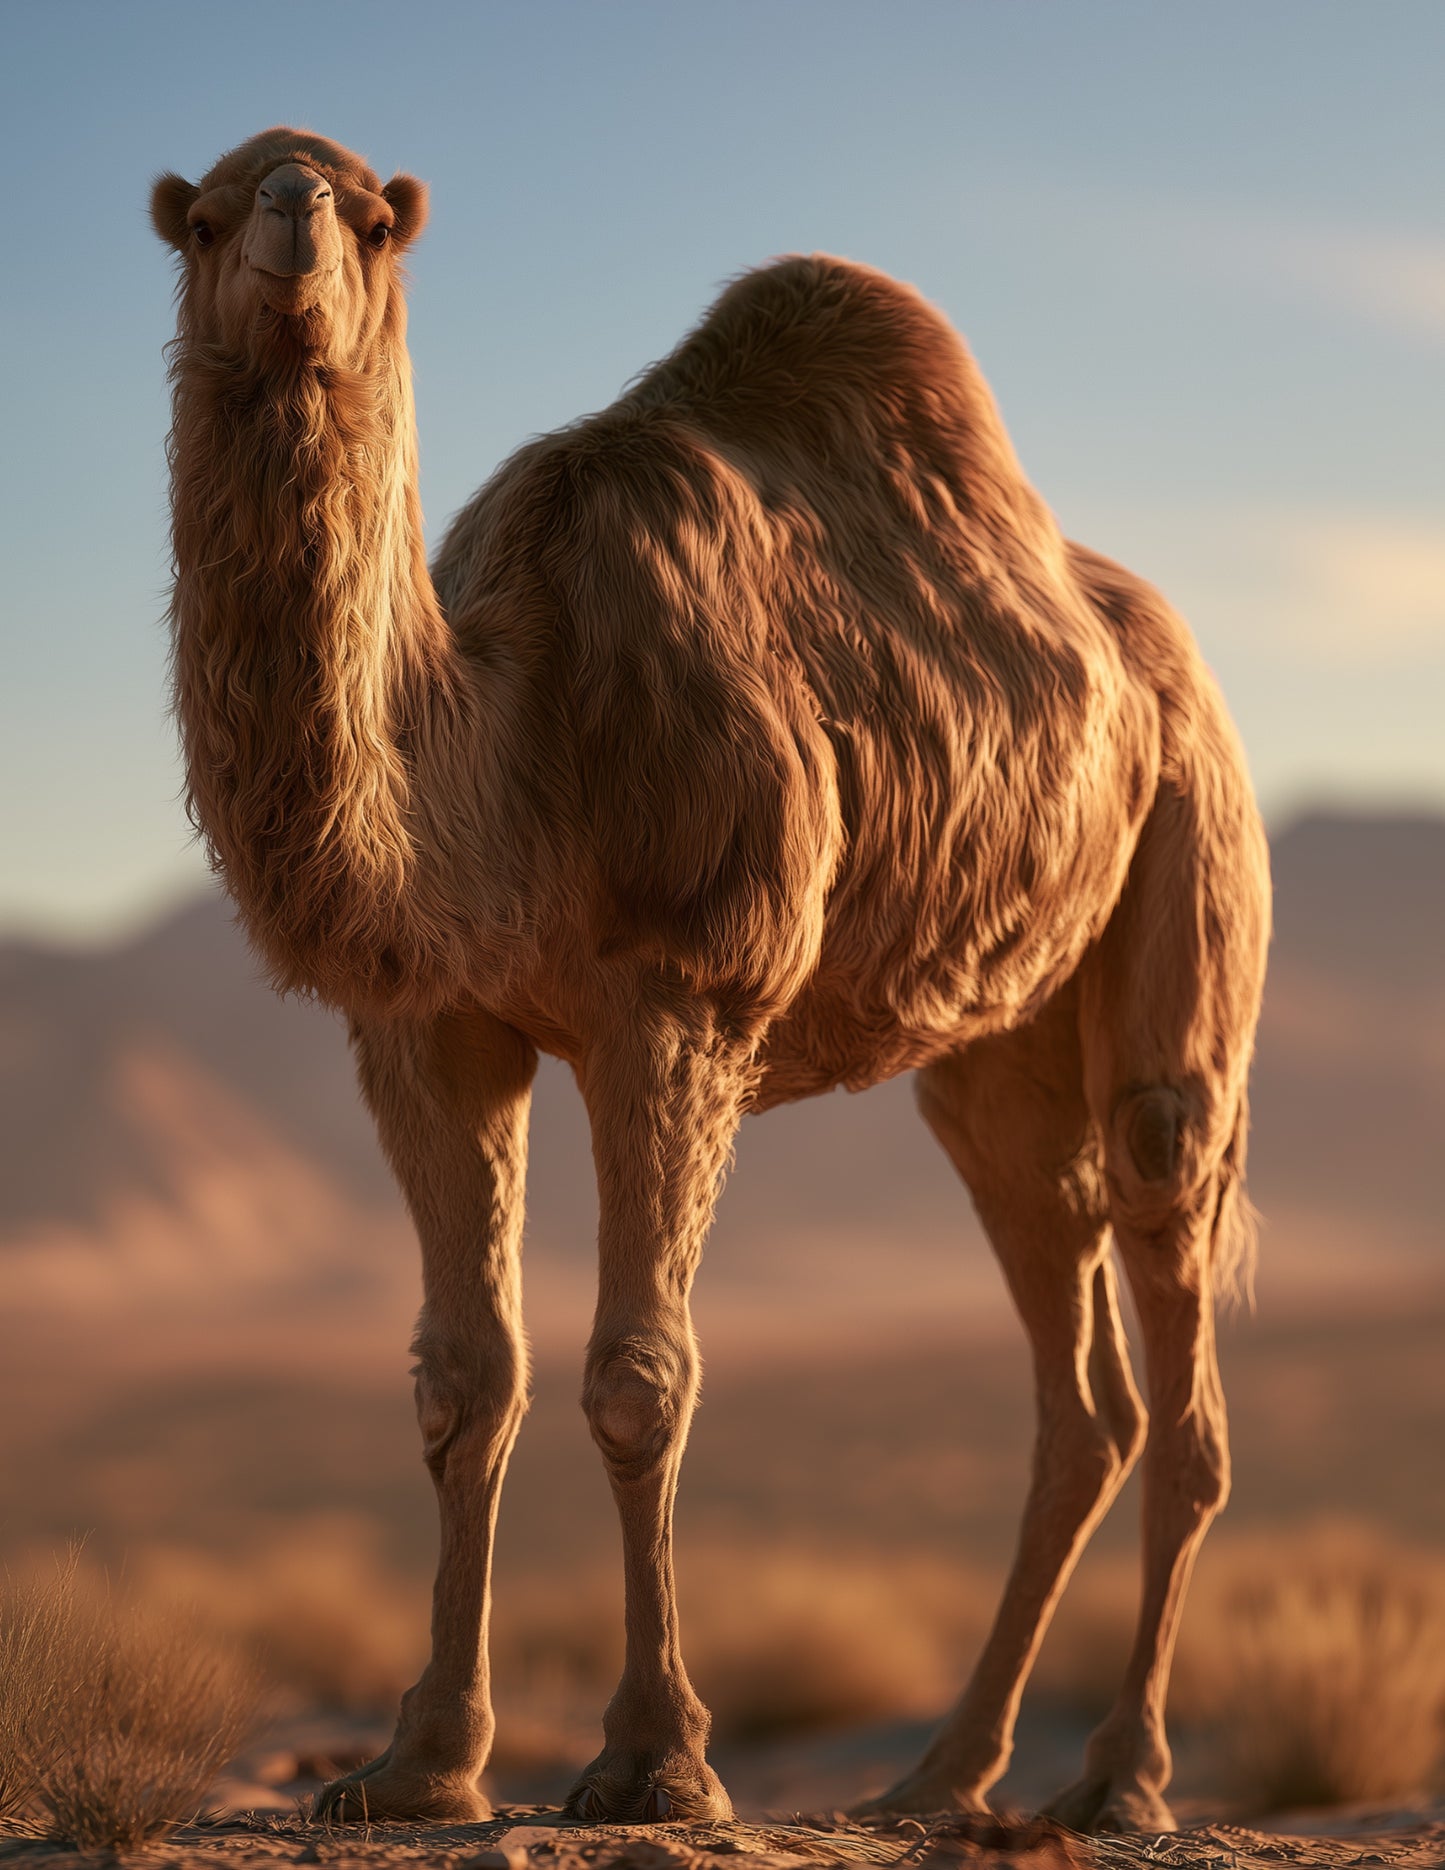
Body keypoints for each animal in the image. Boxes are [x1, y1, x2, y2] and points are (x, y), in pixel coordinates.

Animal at [150, 127, 1270, 1834]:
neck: (509, 732)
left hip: (1192, 861)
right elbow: (461, 1377)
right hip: (996, 1058)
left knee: (1171, 1265)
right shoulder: (430, 1022)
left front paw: (653, 1761)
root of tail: (1177, 658)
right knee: (1081, 1387)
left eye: (370, 217)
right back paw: (940, 1775)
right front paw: (417, 1764)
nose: (286, 223)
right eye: (202, 221)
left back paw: (1115, 1780)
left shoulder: (679, 996)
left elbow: (640, 1374)